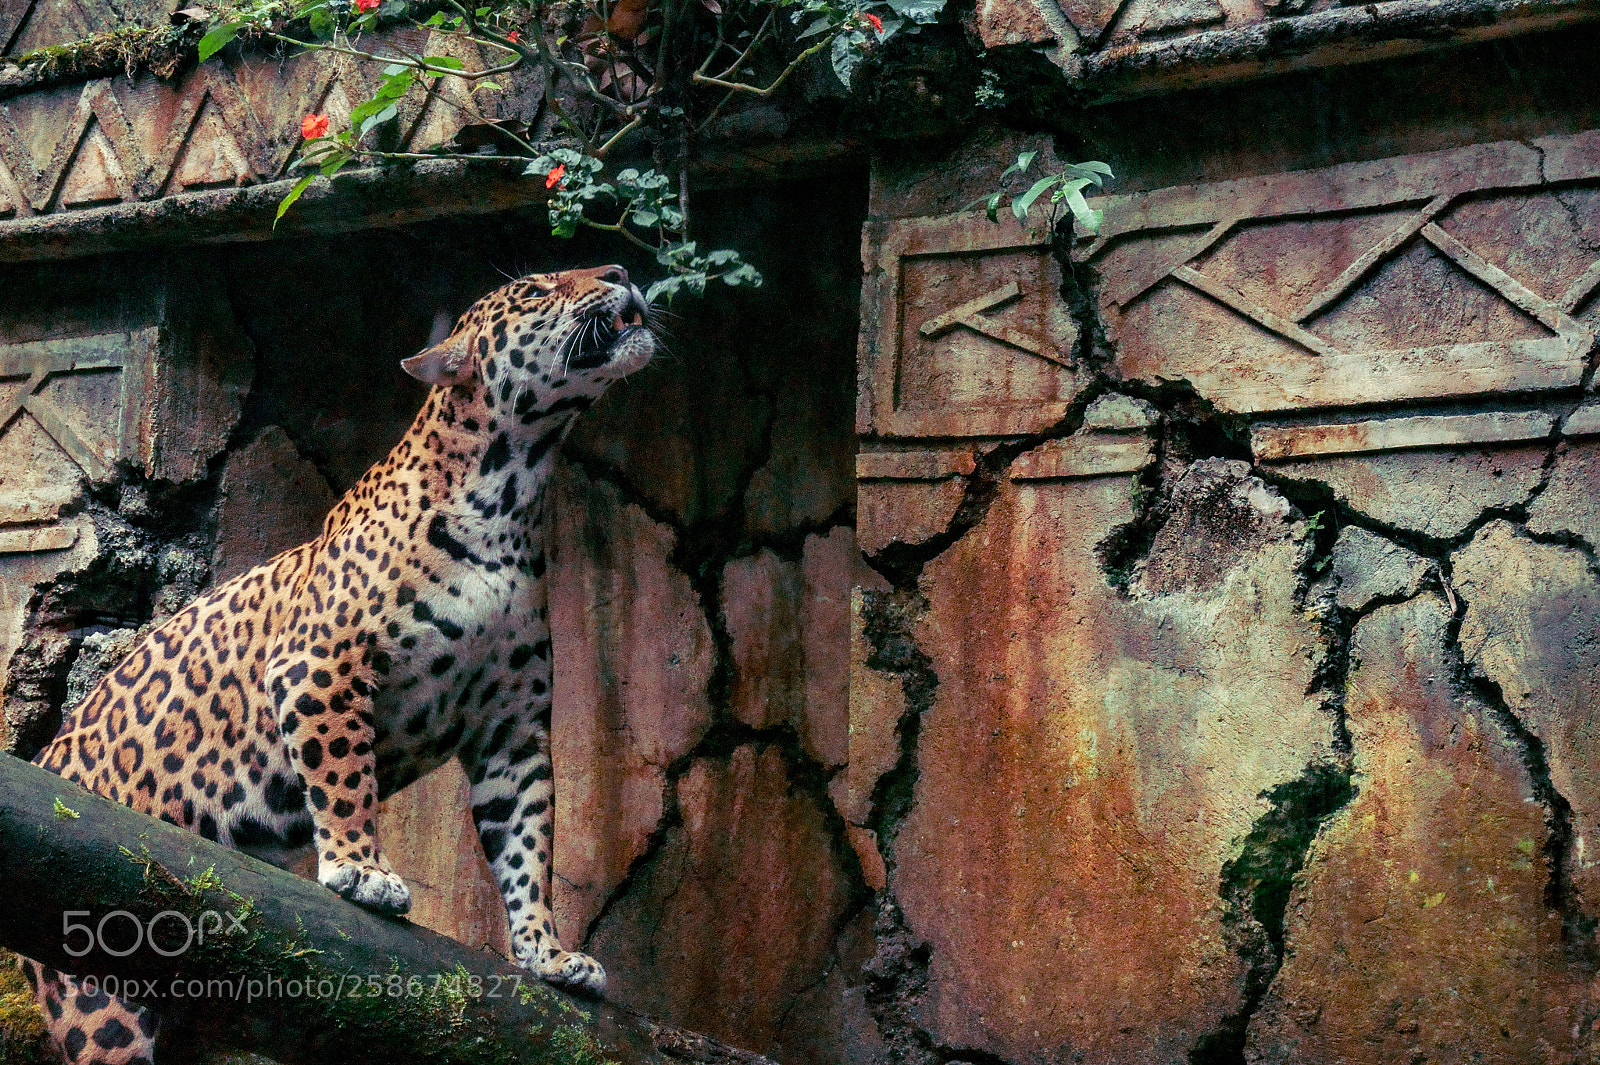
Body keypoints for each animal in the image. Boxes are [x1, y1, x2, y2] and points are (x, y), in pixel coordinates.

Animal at [20, 264, 656, 1065]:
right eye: (538, 290)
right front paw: (361, 869)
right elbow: (346, 776)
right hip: (98, 996)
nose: (620, 272)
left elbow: (529, 842)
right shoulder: (321, 667)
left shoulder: (511, 729)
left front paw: (548, 952)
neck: (511, 495)